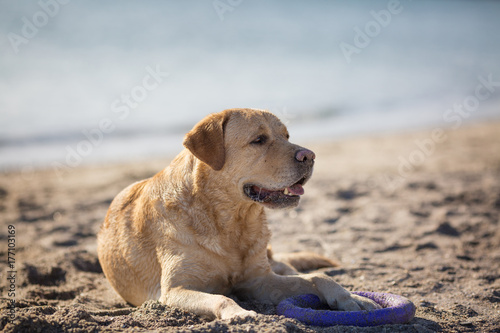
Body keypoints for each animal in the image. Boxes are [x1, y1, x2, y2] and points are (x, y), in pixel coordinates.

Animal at [97, 107, 378, 318]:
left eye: (287, 136)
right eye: (259, 140)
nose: (310, 156)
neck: (232, 222)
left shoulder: (259, 281)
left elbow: (318, 278)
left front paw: (351, 297)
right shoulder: (175, 290)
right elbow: (221, 298)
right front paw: (239, 313)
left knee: (296, 269)